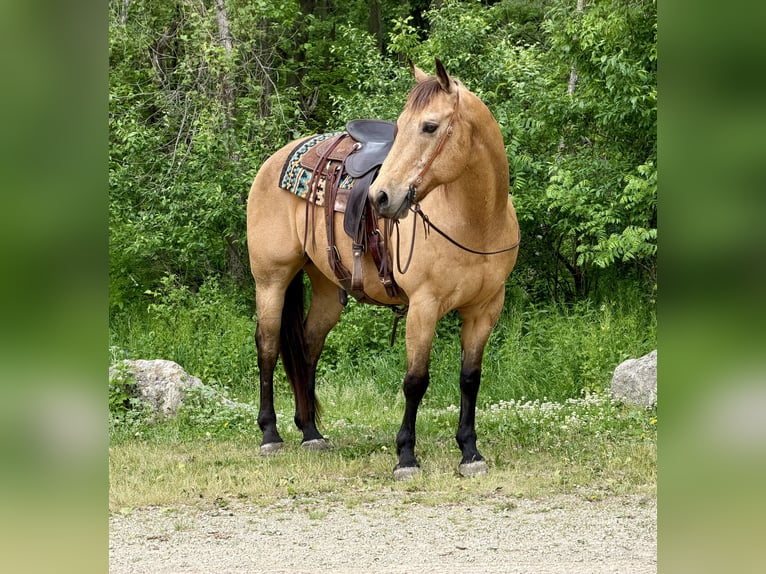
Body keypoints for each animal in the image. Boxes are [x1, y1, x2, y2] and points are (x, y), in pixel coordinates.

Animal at [246, 58, 519, 479]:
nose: (381, 196)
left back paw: (310, 432)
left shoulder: (485, 309)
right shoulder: (423, 307)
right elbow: (415, 381)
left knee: (308, 345)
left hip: (327, 289)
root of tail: (276, 159)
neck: (477, 222)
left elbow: (470, 379)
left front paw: (470, 453)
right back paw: (270, 434)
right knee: (269, 347)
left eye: (429, 126)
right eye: (401, 124)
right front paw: (406, 456)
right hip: (271, 281)